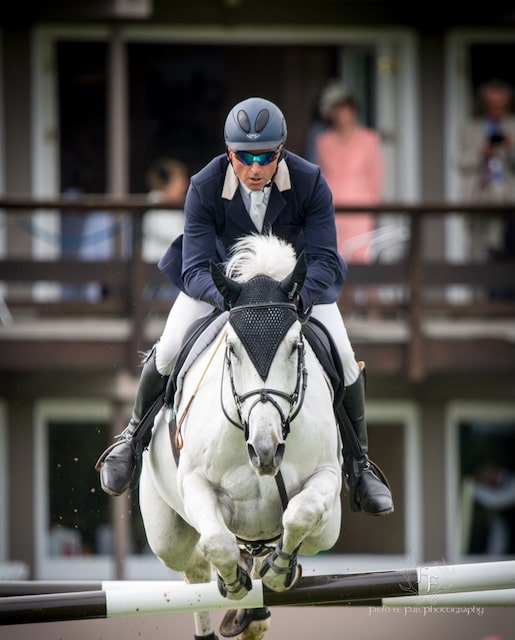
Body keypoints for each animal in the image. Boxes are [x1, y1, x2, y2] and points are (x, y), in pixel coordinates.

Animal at [139, 234, 344, 640]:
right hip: (168, 536)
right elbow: (217, 543)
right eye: (232, 348)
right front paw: (233, 582)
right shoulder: (196, 483)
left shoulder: (326, 480)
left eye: (295, 346)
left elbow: (301, 513)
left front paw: (280, 569)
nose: (265, 450)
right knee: (194, 568)